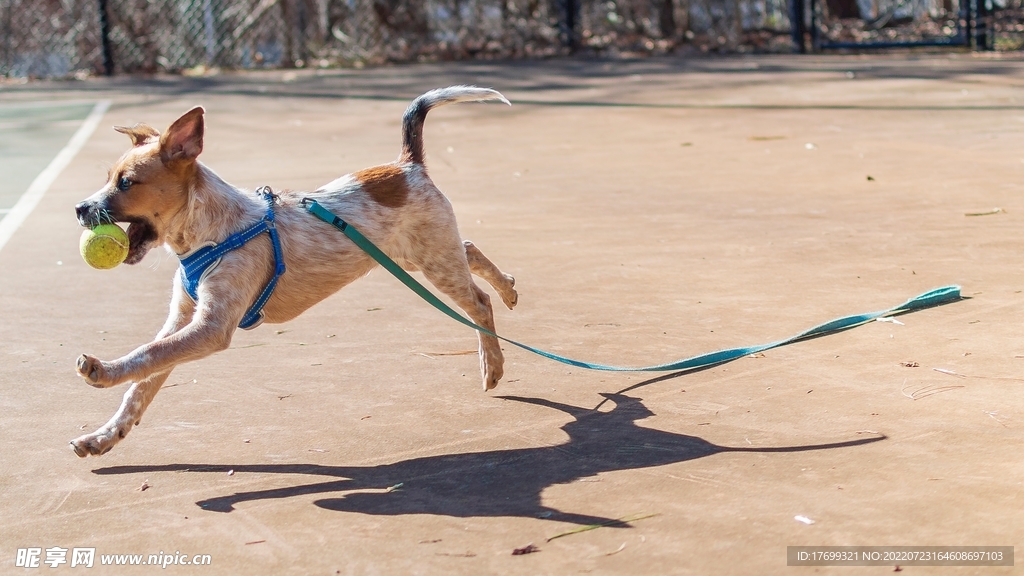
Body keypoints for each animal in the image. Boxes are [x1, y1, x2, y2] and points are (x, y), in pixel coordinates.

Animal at [72, 85, 520, 455]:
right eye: (109, 177)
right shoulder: (183, 319)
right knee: (469, 249)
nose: (79, 208)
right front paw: (105, 436)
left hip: (433, 261)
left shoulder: (210, 328)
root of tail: (408, 165)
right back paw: (509, 288)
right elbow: (144, 382)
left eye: (126, 183)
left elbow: (148, 354)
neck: (211, 233)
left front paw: (103, 372)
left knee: (478, 302)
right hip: (418, 255)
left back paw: (493, 362)